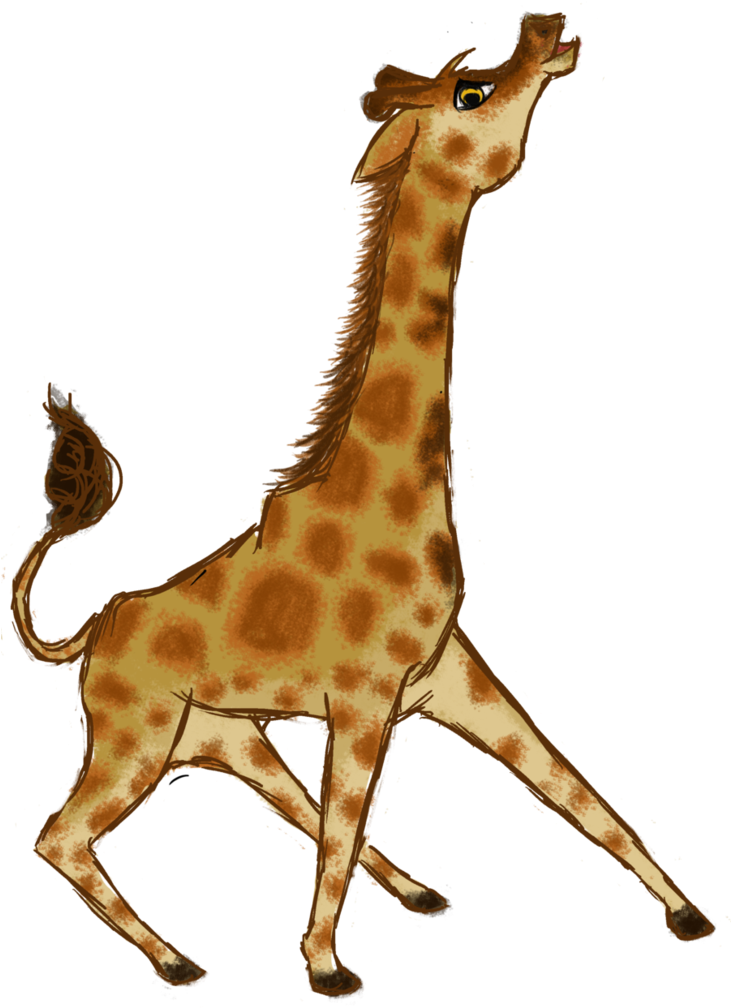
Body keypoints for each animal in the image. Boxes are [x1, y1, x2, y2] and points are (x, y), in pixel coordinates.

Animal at [12, 11, 716, 999]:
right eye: (470, 91)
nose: (547, 27)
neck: (397, 494)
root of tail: (85, 635)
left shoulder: (449, 675)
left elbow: (574, 791)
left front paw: (688, 913)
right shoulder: (363, 694)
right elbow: (352, 820)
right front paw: (325, 970)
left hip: (226, 739)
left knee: (290, 805)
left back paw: (416, 893)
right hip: (133, 739)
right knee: (61, 837)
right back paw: (180, 961)